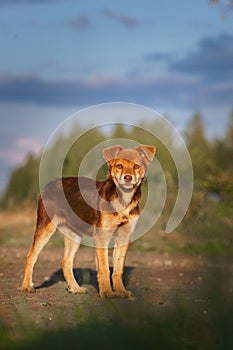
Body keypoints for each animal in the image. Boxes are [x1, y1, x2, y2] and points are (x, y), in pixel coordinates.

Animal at [20, 145, 156, 298]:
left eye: (136, 166)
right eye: (119, 166)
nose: (128, 178)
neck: (123, 199)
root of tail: (48, 185)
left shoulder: (124, 236)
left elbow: (118, 268)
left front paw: (121, 292)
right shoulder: (102, 237)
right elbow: (104, 268)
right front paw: (107, 292)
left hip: (73, 235)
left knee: (66, 262)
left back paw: (75, 288)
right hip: (45, 227)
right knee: (31, 256)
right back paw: (26, 286)